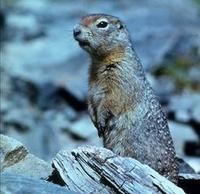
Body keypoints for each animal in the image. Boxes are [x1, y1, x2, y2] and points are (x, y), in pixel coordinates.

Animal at [73, 13, 178, 183]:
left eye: (102, 24)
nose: (75, 31)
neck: (99, 61)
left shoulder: (121, 76)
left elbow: (111, 100)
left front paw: (101, 120)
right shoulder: (91, 84)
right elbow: (90, 100)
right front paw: (94, 120)